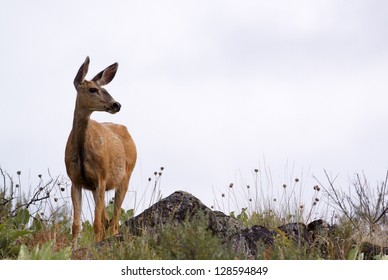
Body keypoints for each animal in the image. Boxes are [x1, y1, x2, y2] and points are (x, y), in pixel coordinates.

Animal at [66, 55, 138, 248]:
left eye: (105, 89)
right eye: (93, 89)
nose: (116, 104)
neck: (82, 151)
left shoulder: (101, 176)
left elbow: (96, 222)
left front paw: (95, 245)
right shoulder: (76, 180)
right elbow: (76, 224)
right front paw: (72, 248)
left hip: (125, 177)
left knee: (114, 221)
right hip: (97, 187)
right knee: (108, 220)